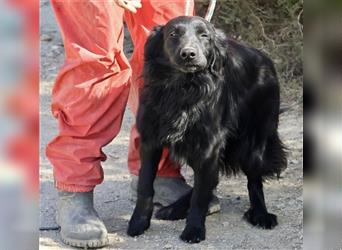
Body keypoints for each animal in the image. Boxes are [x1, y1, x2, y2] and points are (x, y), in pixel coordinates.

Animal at [126, 15, 286, 242]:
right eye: (173, 34)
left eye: (204, 35)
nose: (188, 54)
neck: (183, 88)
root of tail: (264, 58)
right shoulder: (150, 141)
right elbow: (145, 185)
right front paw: (138, 222)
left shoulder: (209, 147)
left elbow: (200, 195)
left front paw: (194, 229)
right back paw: (175, 208)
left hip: (255, 141)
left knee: (253, 180)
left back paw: (261, 214)